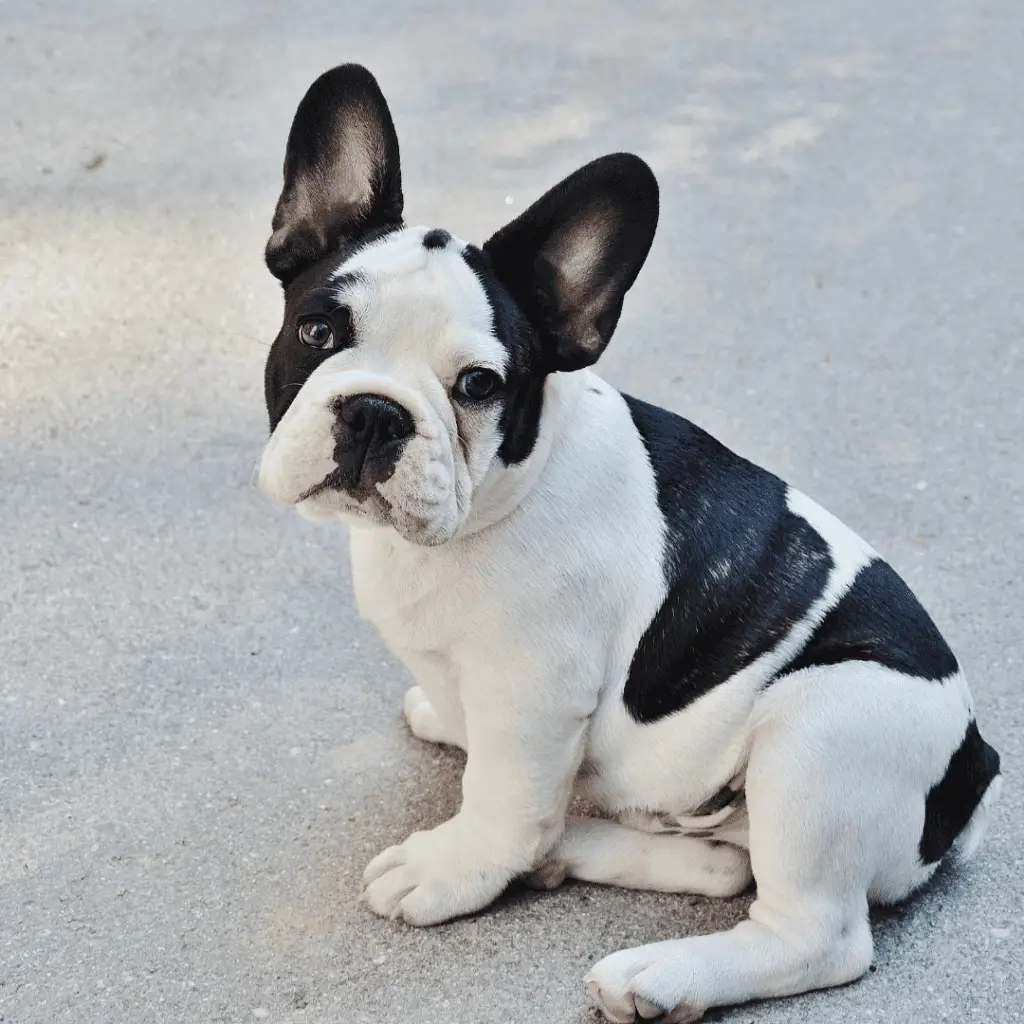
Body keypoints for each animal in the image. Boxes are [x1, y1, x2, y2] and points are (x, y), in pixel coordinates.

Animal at [256, 66, 999, 1024]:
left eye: (479, 385)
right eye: (317, 332)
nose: (377, 411)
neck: (496, 497)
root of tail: (973, 768)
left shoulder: (532, 691)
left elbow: (500, 795)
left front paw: (453, 867)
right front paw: (448, 724)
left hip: (823, 726)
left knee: (817, 934)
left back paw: (658, 973)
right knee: (723, 867)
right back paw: (571, 852)